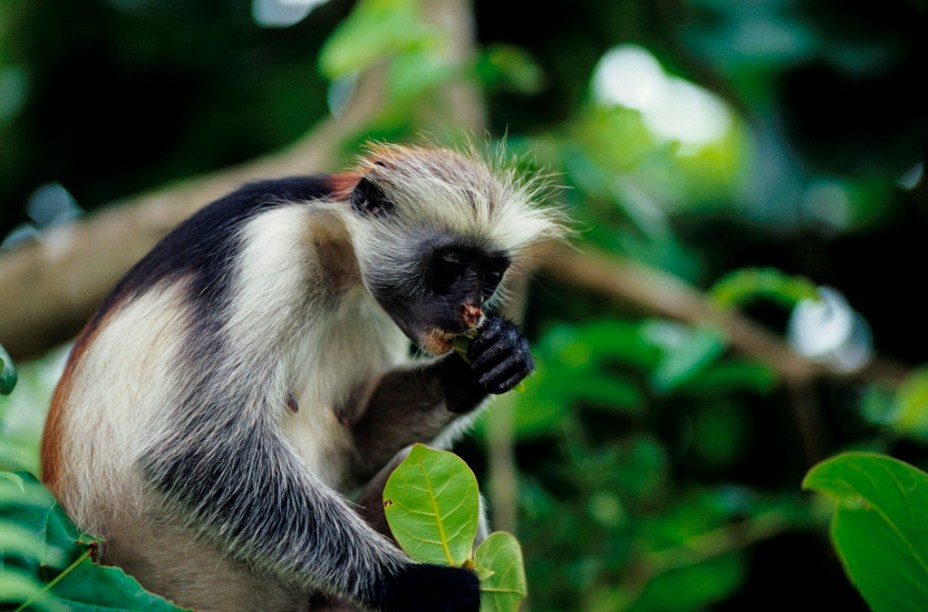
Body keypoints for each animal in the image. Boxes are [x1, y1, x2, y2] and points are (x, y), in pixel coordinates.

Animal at [40, 145, 560, 612]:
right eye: (449, 264)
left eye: (489, 274)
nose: (467, 309)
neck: (333, 251)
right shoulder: (268, 251)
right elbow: (195, 452)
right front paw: (410, 585)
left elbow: (358, 443)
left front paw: (485, 363)